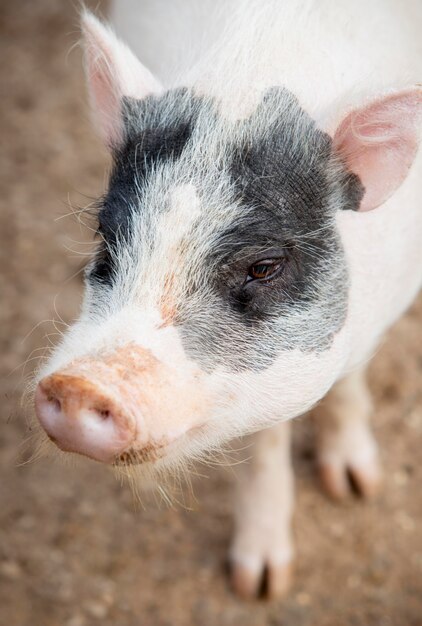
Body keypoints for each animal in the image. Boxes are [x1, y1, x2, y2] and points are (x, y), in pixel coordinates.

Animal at [34, 0, 422, 596]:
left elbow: (349, 379)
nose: (79, 384)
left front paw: (357, 488)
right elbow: (263, 443)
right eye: (106, 237)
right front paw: (259, 585)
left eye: (264, 267)